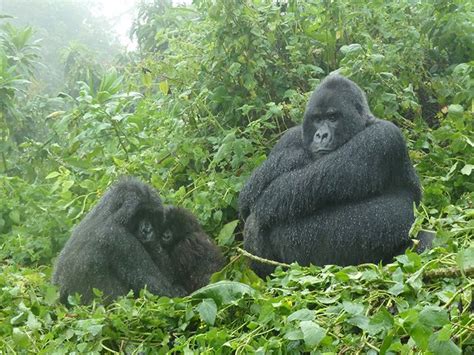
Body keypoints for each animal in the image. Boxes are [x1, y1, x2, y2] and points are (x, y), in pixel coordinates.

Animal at [241, 74, 422, 278]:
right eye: (317, 119)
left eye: (333, 117)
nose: (321, 135)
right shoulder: (288, 137)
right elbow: (250, 192)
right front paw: (292, 157)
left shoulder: (383, 136)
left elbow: (273, 195)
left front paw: (294, 159)